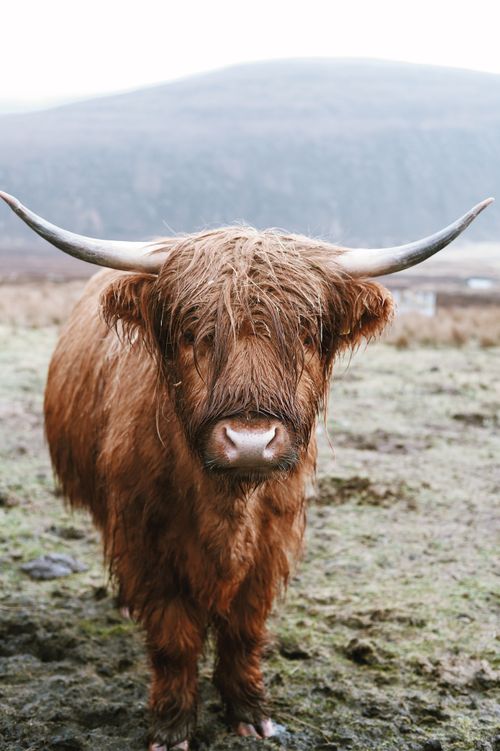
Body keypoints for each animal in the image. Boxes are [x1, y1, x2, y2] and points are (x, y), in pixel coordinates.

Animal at [0, 191, 493, 750]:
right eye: (193, 333)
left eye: (305, 334)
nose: (251, 442)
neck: (228, 505)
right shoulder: (147, 538)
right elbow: (173, 638)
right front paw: (173, 726)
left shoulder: (272, 540)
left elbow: (244, 630)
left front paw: (251, 713)